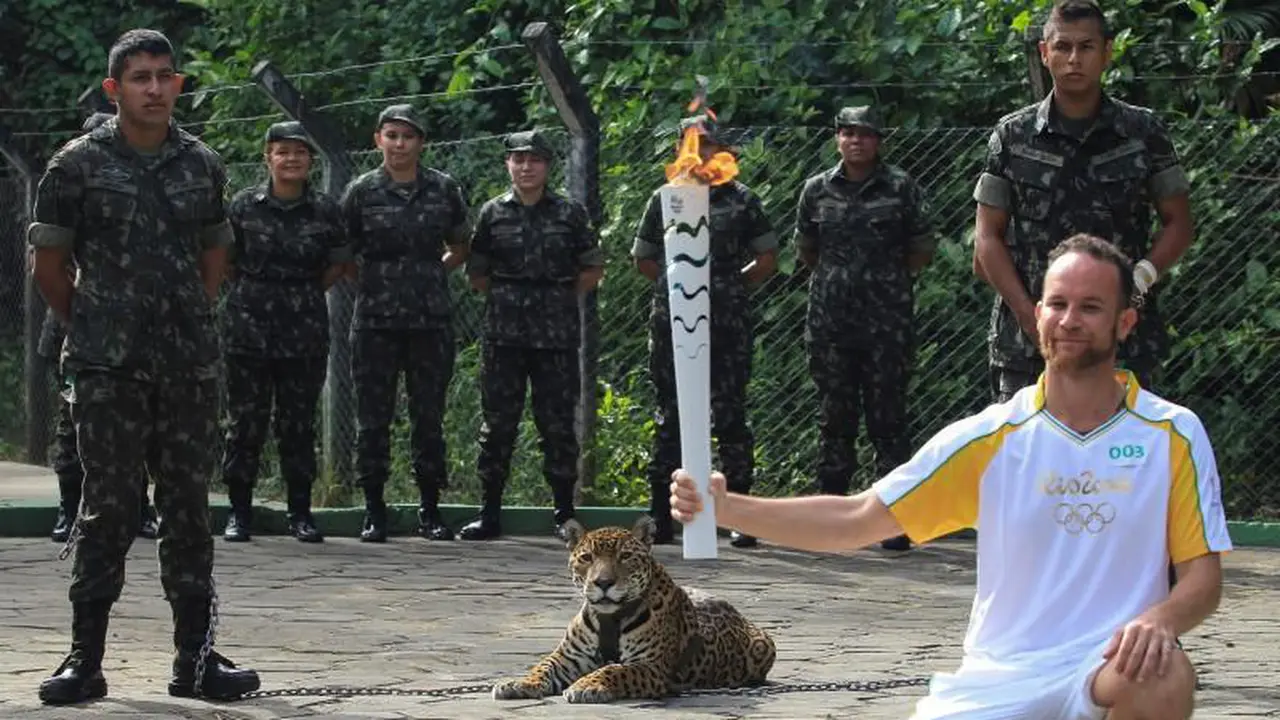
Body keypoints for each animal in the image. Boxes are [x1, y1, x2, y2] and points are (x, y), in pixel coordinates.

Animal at [491, 515, 776, 704]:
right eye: (587, 558)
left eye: (625, 556)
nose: (603, 582)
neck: (609, 618)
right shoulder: (568, 657)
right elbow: (542, 666)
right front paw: (518, 682)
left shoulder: (651, 665)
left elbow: (614, 669)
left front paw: (587, 685)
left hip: (765, 645)